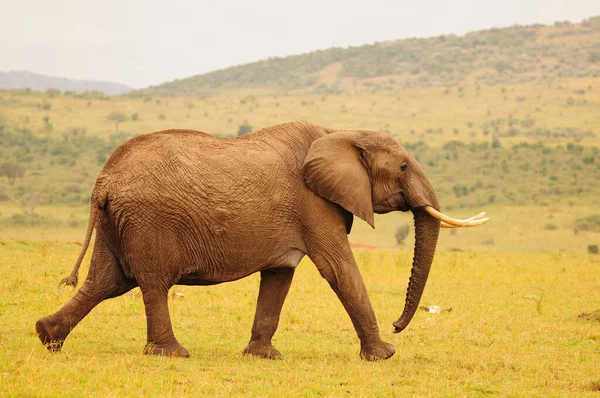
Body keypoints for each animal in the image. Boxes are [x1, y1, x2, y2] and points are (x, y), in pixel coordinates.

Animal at [35, 121, 488, 360]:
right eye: (404, 166)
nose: (397, 325)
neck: (340, 133)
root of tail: (103, 180)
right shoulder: (314, 204)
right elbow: (339, 270)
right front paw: (384, 356)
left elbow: (279, 276)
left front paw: (264, 357)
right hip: (148, 221)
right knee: (152, 284)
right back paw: (173, 354)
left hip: (117, 222)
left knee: (105, 283)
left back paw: (47, 337)